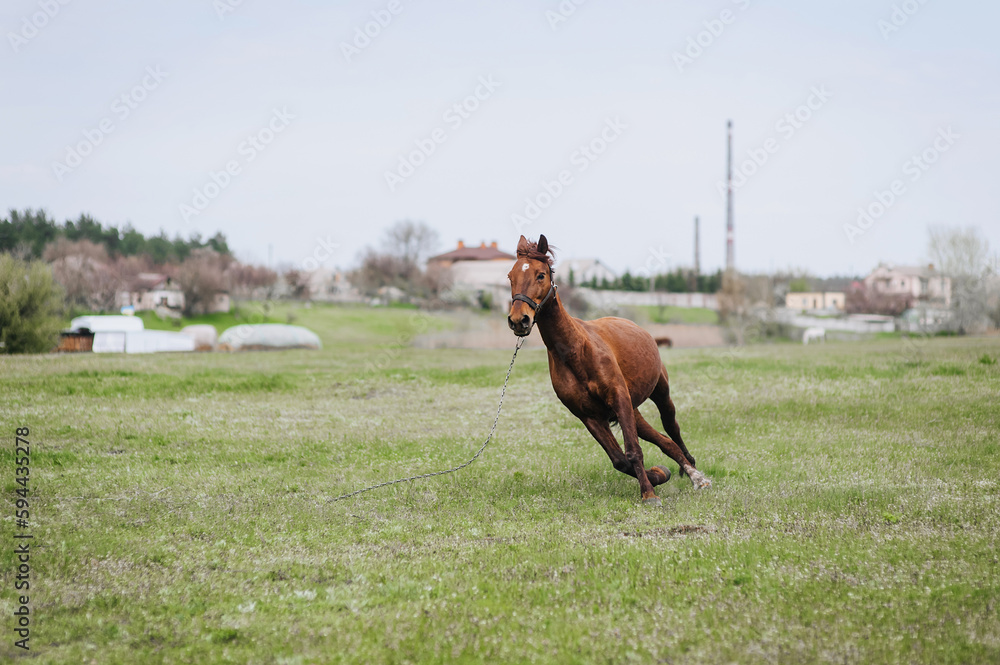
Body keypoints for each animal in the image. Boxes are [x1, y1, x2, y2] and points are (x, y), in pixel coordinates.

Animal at [506, 235, 711, 506]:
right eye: (510, 276)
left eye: (540, 275)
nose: (519, 320)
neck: (575, 351)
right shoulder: (589, 416)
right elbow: (621, 460)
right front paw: (656, 475)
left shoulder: (619, 397)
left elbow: (633, 451)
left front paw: (649, 494)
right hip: (633, 411)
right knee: (663, 440)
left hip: (659, 392)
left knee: (671, 427)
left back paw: (693, 471)